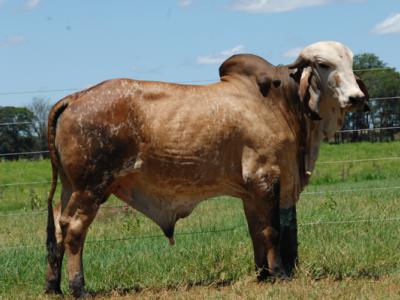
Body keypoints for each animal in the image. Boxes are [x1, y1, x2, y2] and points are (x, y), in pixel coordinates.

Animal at [44, 41, 368, 296]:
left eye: (351, 61)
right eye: (323, 64)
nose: (357, 98)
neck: (282, 104)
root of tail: (74, 97)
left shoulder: (252, 192)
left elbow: (257, 231)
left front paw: (263, 275)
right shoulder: (266, 178)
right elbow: (273, 230)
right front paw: (278, 274)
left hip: (70, 187)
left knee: (58, 226)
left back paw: (53, 286)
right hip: (91, 187)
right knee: (74, 229)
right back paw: (78, 287)